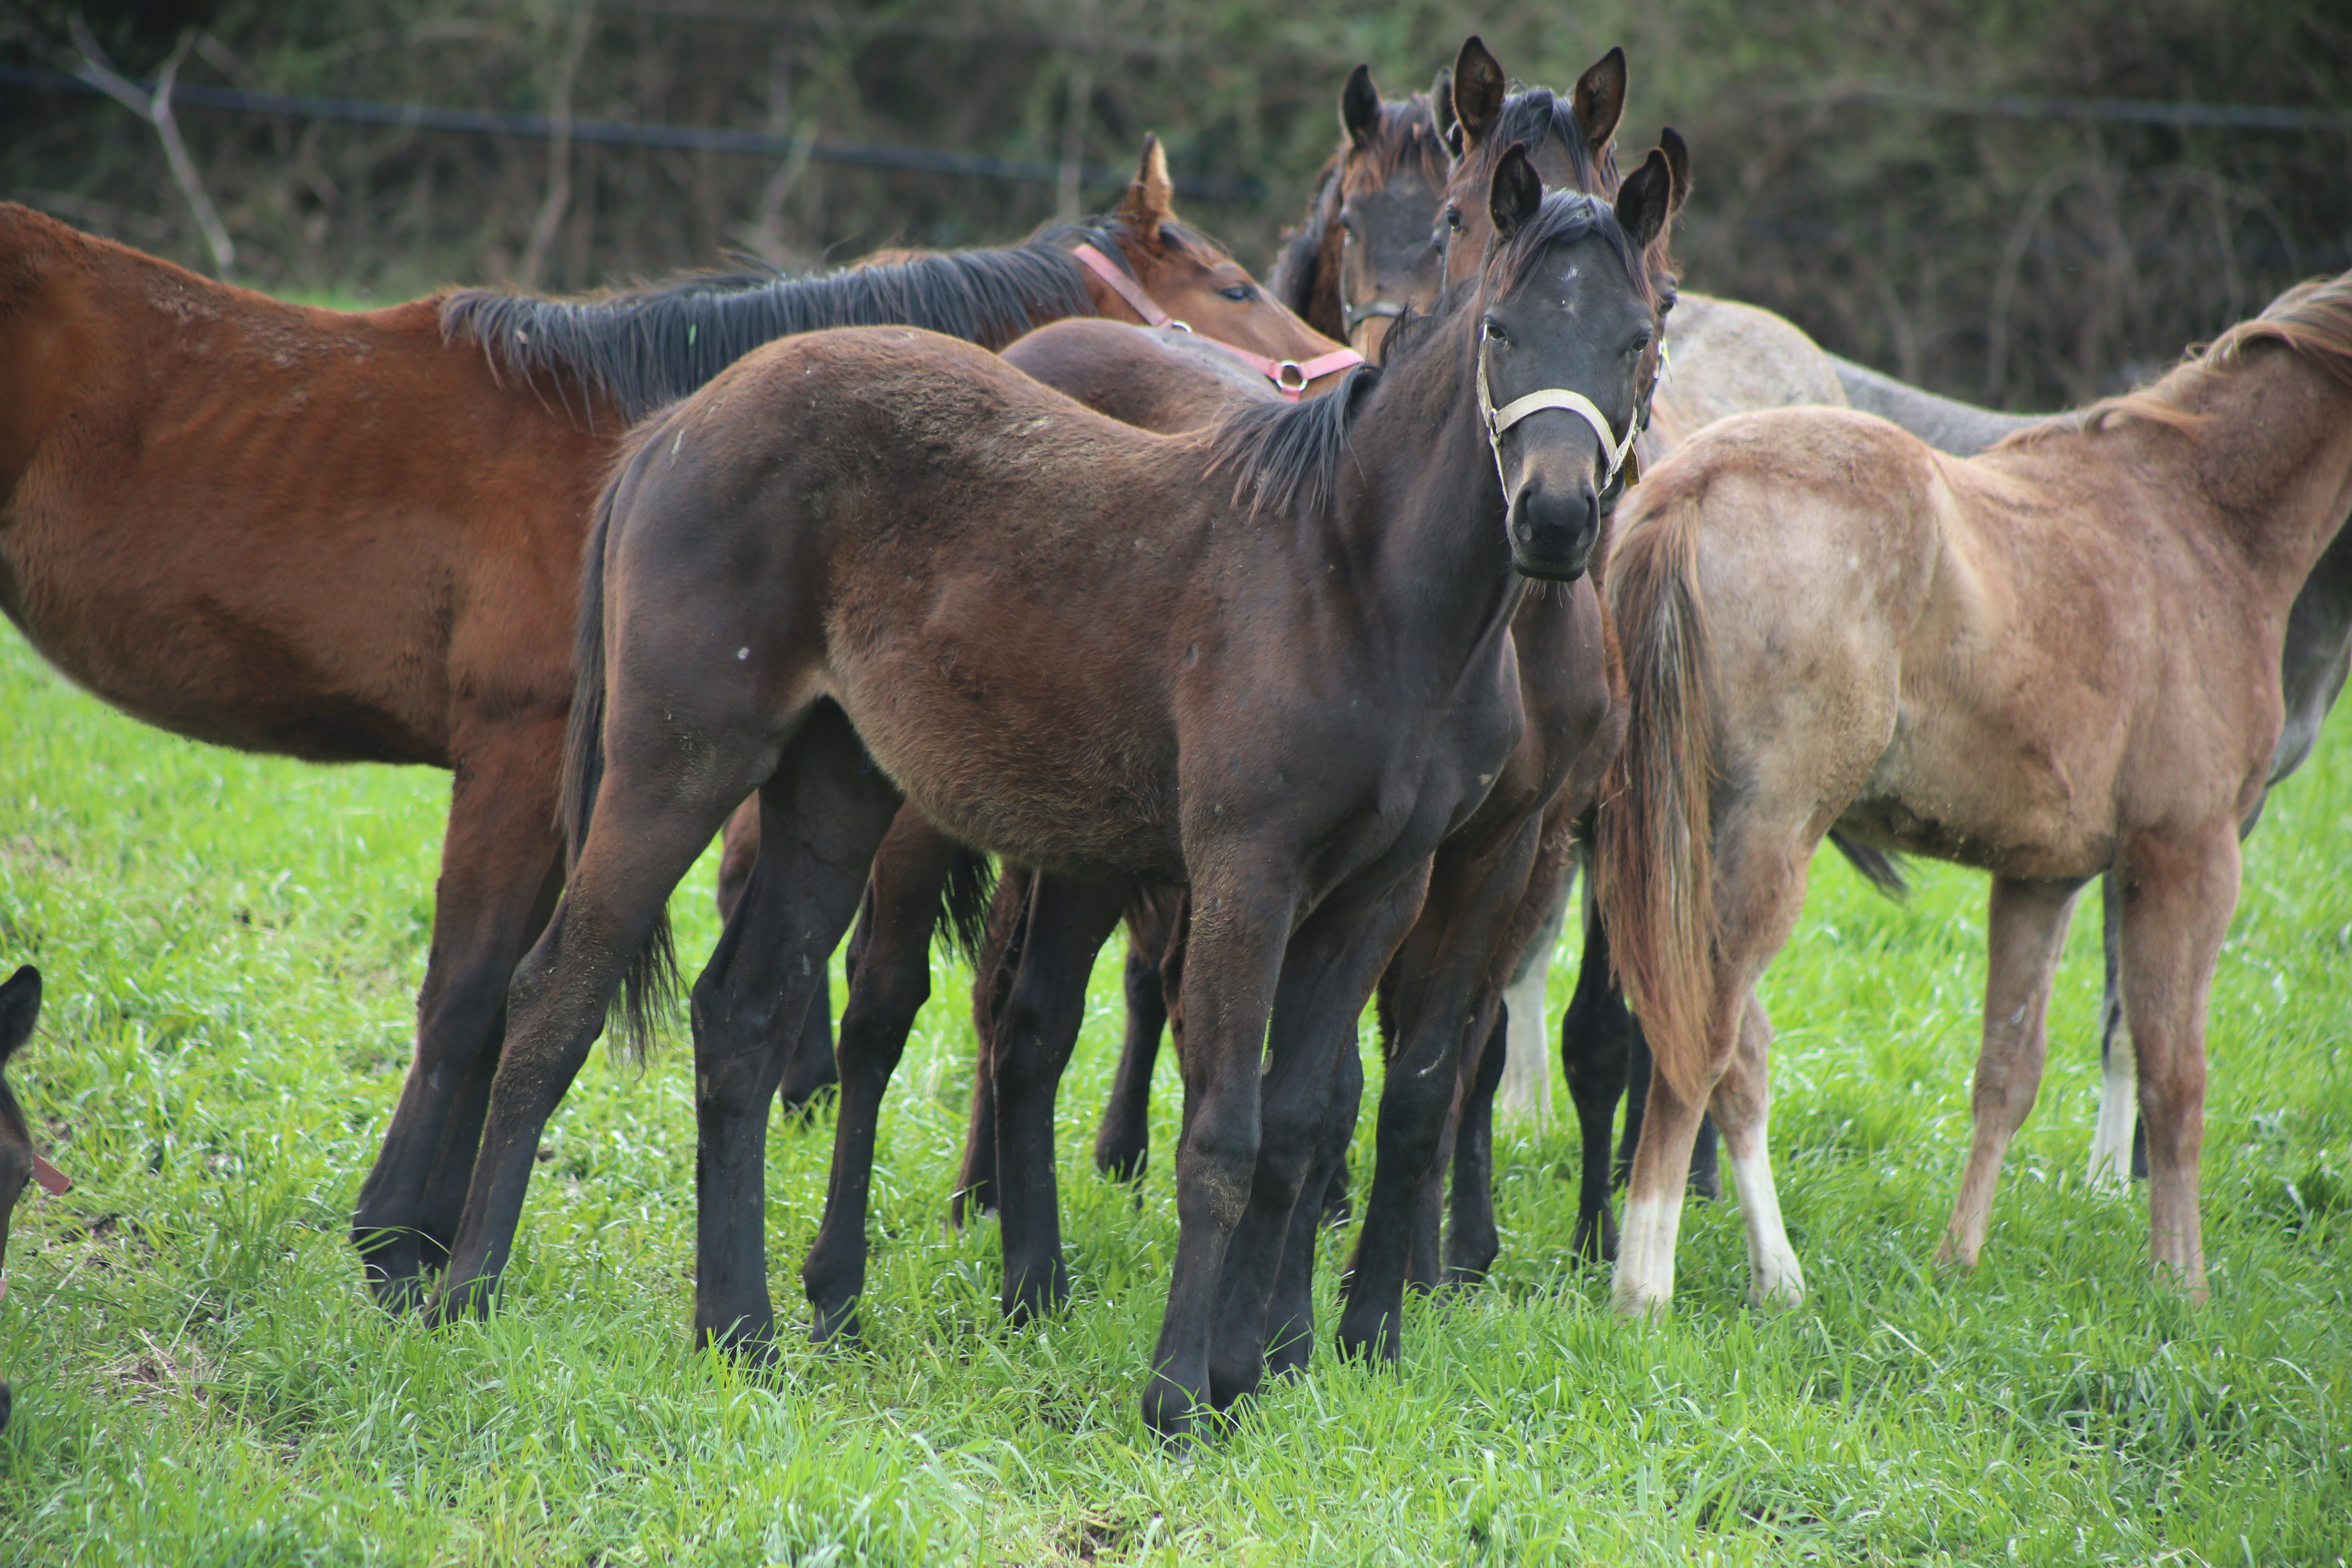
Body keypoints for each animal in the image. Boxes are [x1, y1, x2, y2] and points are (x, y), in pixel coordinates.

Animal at [0, 138, 1364, 1316]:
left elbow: (498, 999)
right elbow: (470, 996)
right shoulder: (517, 762)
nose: (1341, 374)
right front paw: (400, 1243)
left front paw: (428, 1230)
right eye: (1235, 284)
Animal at [419, 153, 1675, 1439]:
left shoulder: (1386, 887)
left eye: (1643, 335)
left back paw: (743, 1331)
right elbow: (1224, 1130)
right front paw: (1176, 1395)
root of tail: (678, 424)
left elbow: (1304, 1122)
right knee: (559, 991)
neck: (1354, 583)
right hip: (678, 766)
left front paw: (1254, 1369)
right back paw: (468, 1301)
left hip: (835, 791)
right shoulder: (1249, 873)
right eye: (1501, 329)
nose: (1555, 518)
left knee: (743, 1017)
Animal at [1590, 270, 2352, 1316]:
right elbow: (2173, 1075)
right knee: (1703, 1041)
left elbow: (2007, 1071)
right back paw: (1645, 1284)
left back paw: (1776, 1277)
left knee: (1734, 1049)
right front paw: (2179, 1284)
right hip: (1766, 844)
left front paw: (1958, 1258)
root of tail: (1689, 483)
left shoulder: (2040, 878)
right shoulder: (2189, 856)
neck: (2198, 522)